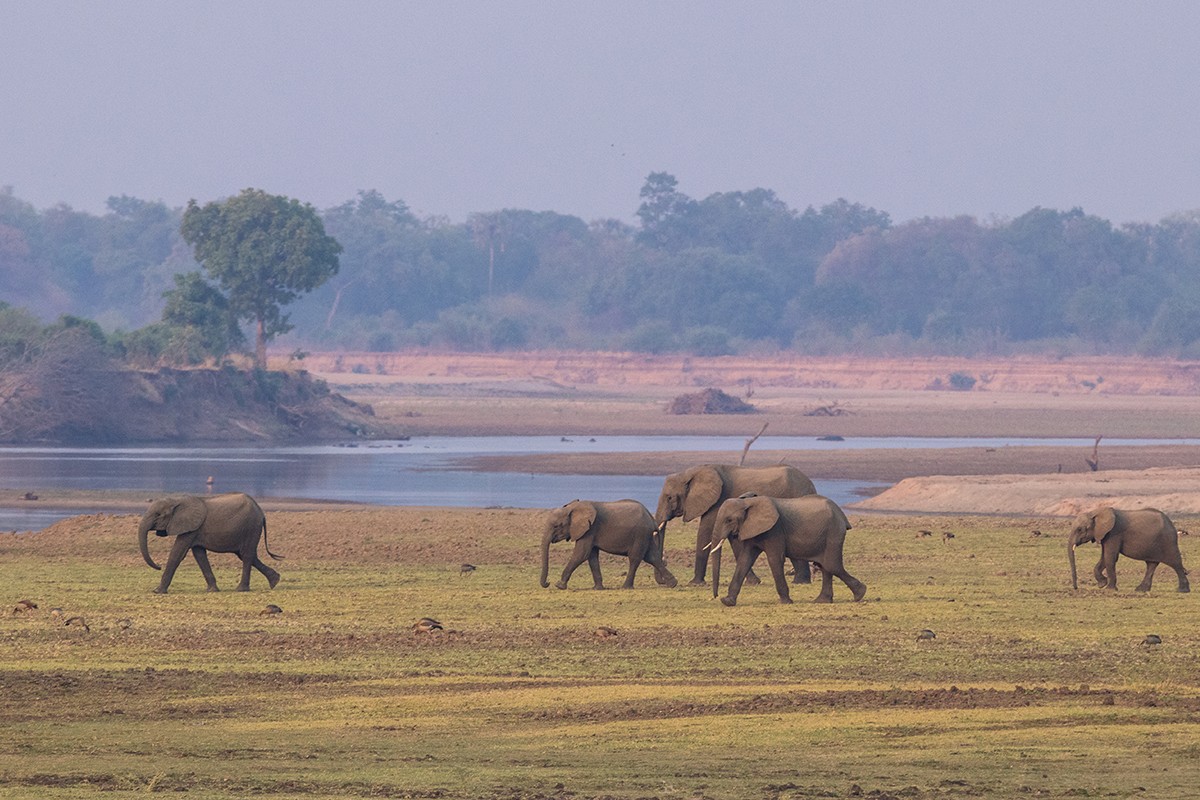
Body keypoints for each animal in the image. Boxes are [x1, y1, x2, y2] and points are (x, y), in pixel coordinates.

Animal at [138, 489, 280, 594]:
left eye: (158, 515)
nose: (159, 566)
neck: (176, 500)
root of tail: (261, 512)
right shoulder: (195, 529)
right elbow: (199, 555)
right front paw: (212, 590)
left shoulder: (191, 527)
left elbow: (177, 553)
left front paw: (157, 591)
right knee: (246, 555)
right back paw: (275, 581)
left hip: (251, 527)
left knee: (246, 555)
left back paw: (241, 590)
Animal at [542, 501, 681, 587]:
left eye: (557, 526)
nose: (547, 583)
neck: (573, 507)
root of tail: (651, 518)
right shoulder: (590, 532)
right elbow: (591, 556)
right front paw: (597, 588)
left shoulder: (589, 530)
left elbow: (581, 554)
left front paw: (559, 585)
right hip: (646, 536)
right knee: (652, 557)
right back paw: (673, 584)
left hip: (640, 535)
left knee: (635, 558)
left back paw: (625, 587)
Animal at [652, 462, 820, 587]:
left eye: (669, 497)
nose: (663, 582)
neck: (690, 472)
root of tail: (810, 483)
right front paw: (753, 582)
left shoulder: (717, 501)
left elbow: (706, 532)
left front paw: (695, 583)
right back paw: (800, 581)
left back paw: (800, 582)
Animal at [700, 494, 864, 606]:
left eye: (729, 520)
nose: (715, 596)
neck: (747, 502)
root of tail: (842, 516)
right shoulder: (751, 530)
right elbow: (744, 560)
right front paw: (727, 601)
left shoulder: (775, 530)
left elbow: (774, 559)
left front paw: (786, 601)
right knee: (825, 567)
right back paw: (822, 601)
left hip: (833, 533)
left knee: (832, 565)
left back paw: (860, 594)